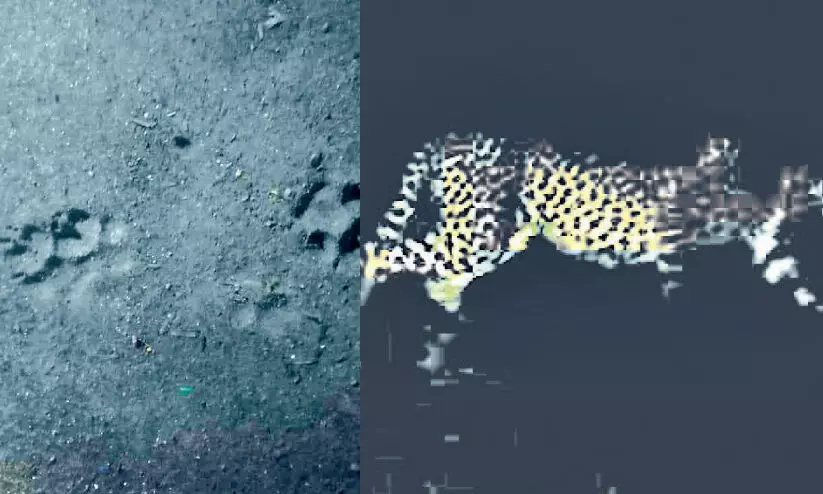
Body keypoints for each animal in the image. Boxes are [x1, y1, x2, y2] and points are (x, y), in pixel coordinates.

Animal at [361, 132, 823, 319]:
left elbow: (786, 271)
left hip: (491, 236)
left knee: (429, 273)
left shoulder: (758, 244)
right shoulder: (676, 247)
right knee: (383, 251)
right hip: (476, 234)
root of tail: (455, 134)